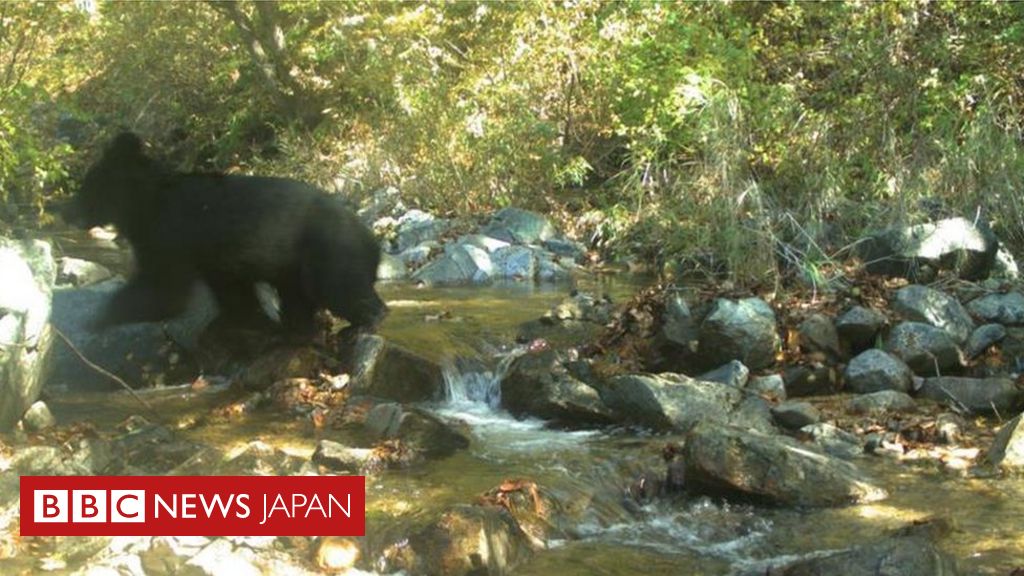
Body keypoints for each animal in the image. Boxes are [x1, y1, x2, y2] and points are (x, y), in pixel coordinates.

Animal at [67, 132, 387, 332]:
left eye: (86, 188)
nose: (67, 211)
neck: (142, 205)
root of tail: (371, 239)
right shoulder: (216, 260)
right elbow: (231, 291)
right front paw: (240, 319)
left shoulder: (169, 234)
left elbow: (163, 288)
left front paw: (99, 318)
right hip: (292, 266)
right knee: (301, 297)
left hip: (328, 251)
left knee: (340, 288)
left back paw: (371, 317)